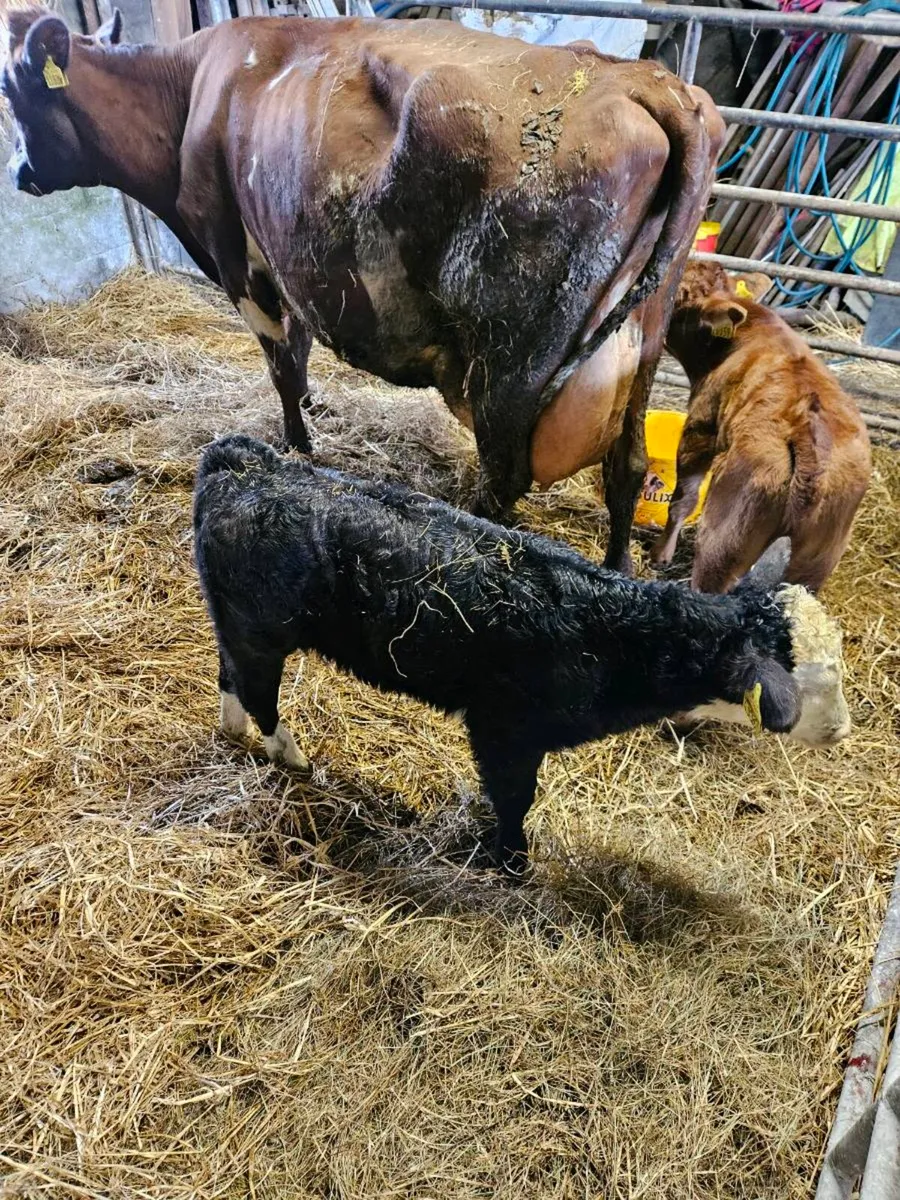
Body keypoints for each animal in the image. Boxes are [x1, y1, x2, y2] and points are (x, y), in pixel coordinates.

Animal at [3, 8, 724, 572]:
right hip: (639, 343)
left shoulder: (240, 258)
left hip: (513, 366)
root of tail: (644, 81)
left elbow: (283, 368)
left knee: (504, 480)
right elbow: (296, 362)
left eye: (14, 92)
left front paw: (297, 447)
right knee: (627, 467)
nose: (19, 173)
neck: (188, 96)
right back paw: (618, 570)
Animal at [194, 434, 852, 875]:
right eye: (814, 681)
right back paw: (293, 757)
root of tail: (244, 458)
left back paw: (235, 733)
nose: (843, 732)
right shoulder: (505, 728)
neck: (618, 639)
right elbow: (514, 797)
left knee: (229, 676)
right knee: (260, 692)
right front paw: (512, 862)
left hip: (233, 618)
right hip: (261, 629)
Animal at [652, 261, 872, 593]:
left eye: (677, 296)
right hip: (815, 563)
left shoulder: (700, 429)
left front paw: (661, 555)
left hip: (723, 540)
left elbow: (682, 500)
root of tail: (810, 434)